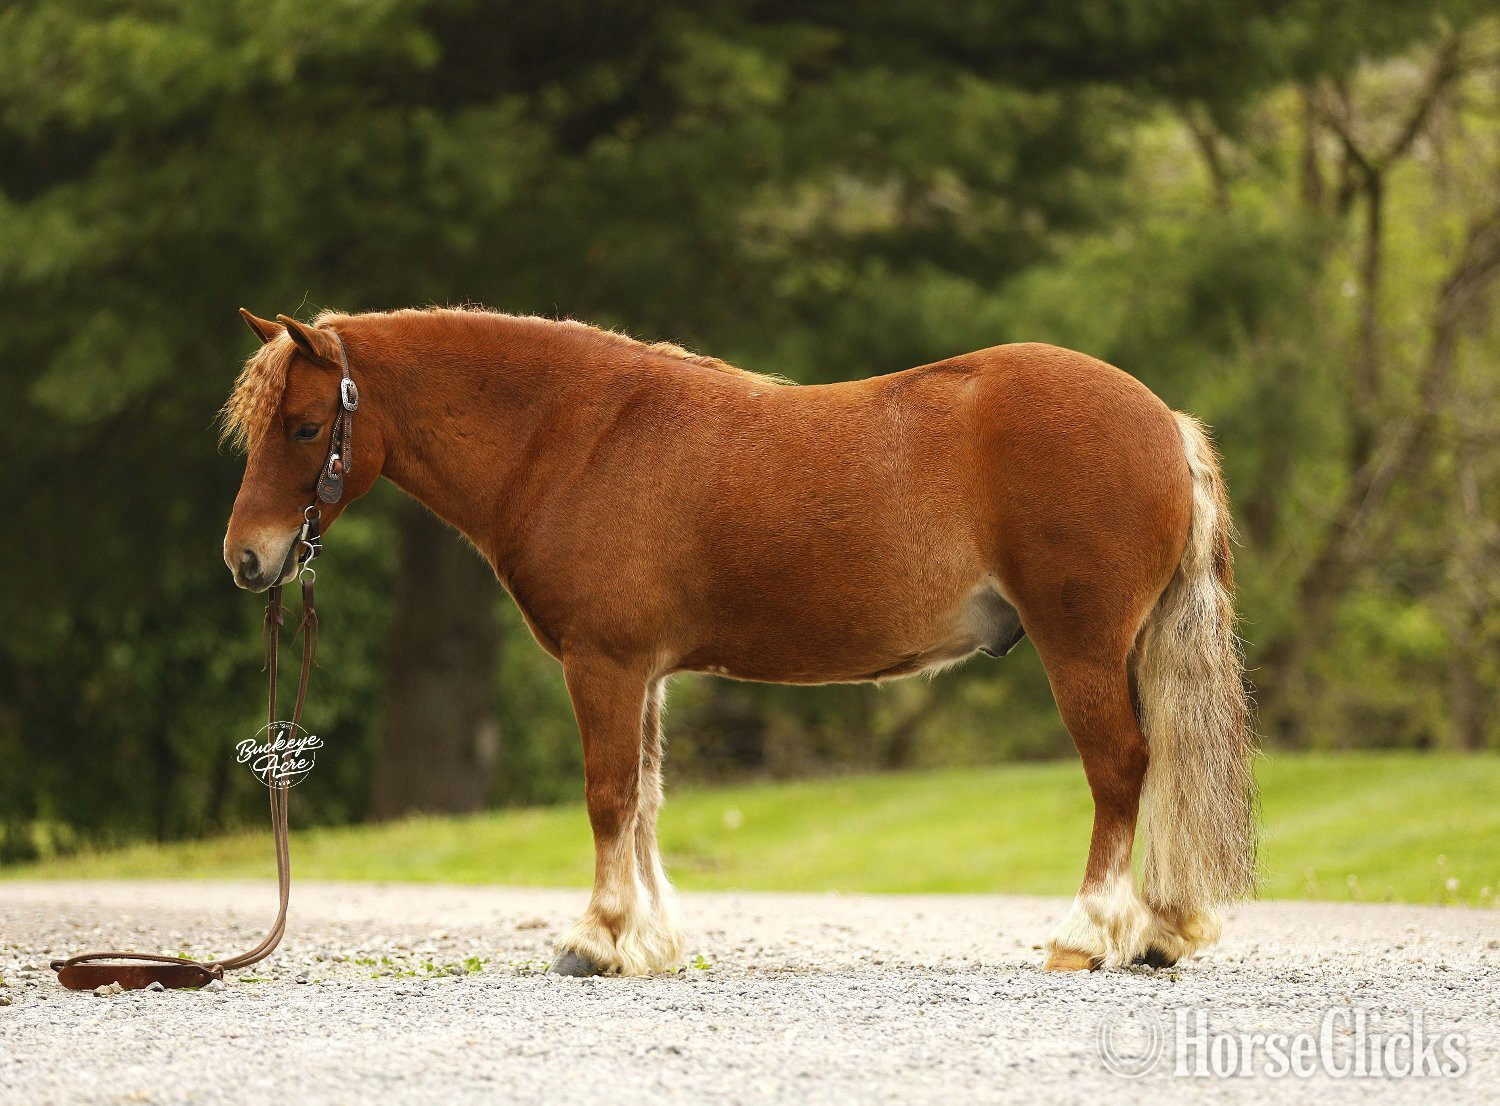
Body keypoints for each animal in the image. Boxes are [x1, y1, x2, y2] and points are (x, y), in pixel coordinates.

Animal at [222, 305, 1256, 976]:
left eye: (305, 426)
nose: (247, 558)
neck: (578, 438)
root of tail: (1162, 419)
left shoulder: (604, 664)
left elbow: (608, 797)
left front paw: (595, 939)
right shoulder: (642, 672)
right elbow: (642, 800)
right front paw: (649, 942)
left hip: (1081, 646)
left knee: (1121, 768)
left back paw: (1087, 935)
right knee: (1155, 766)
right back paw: (1160, 932)